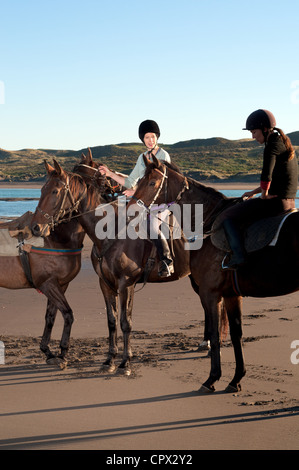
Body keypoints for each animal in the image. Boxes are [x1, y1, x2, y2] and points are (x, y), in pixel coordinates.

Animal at [129, 155, 299, 392]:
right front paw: (236, 379)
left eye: (152, 183)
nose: (130, 208)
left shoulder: (210, 293)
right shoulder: (231, 295)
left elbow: (216, 335)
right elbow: (236, 335)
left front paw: (212, 378)